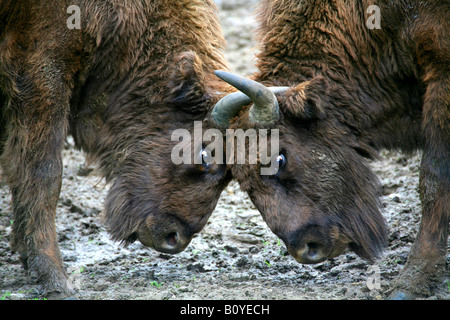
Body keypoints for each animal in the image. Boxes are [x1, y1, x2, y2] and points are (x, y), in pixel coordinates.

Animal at [212, 0, 450, 300]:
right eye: (243, 184)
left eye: (279, 158)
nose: (306, 248)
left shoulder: (441, 75)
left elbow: (433, 179)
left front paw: (410, 283)